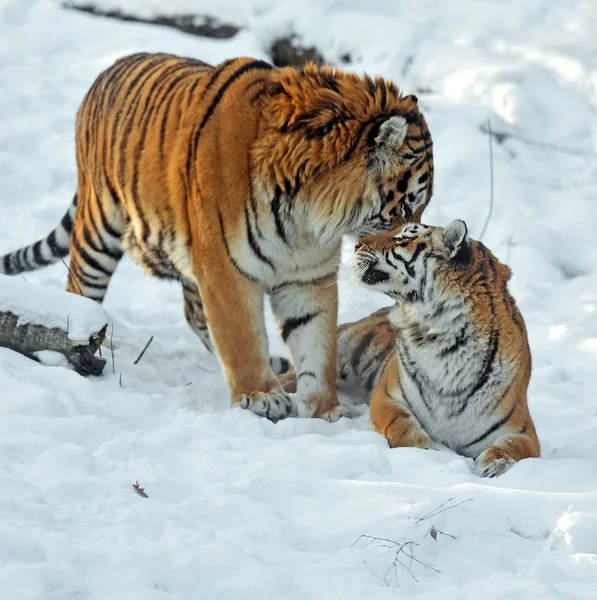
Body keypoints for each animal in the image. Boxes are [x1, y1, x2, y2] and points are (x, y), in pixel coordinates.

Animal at [2, 55, 436, 422]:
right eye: (406, 207)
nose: (415, 237)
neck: (305, 217)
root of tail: (106, 71)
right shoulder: (225, 268)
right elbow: (240, 335)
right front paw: (260, 397)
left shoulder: (307, 277)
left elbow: (317, 343)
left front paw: (324, 409)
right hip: (99, 228)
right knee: (80, 290)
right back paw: (81, 346)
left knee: (194, 314)